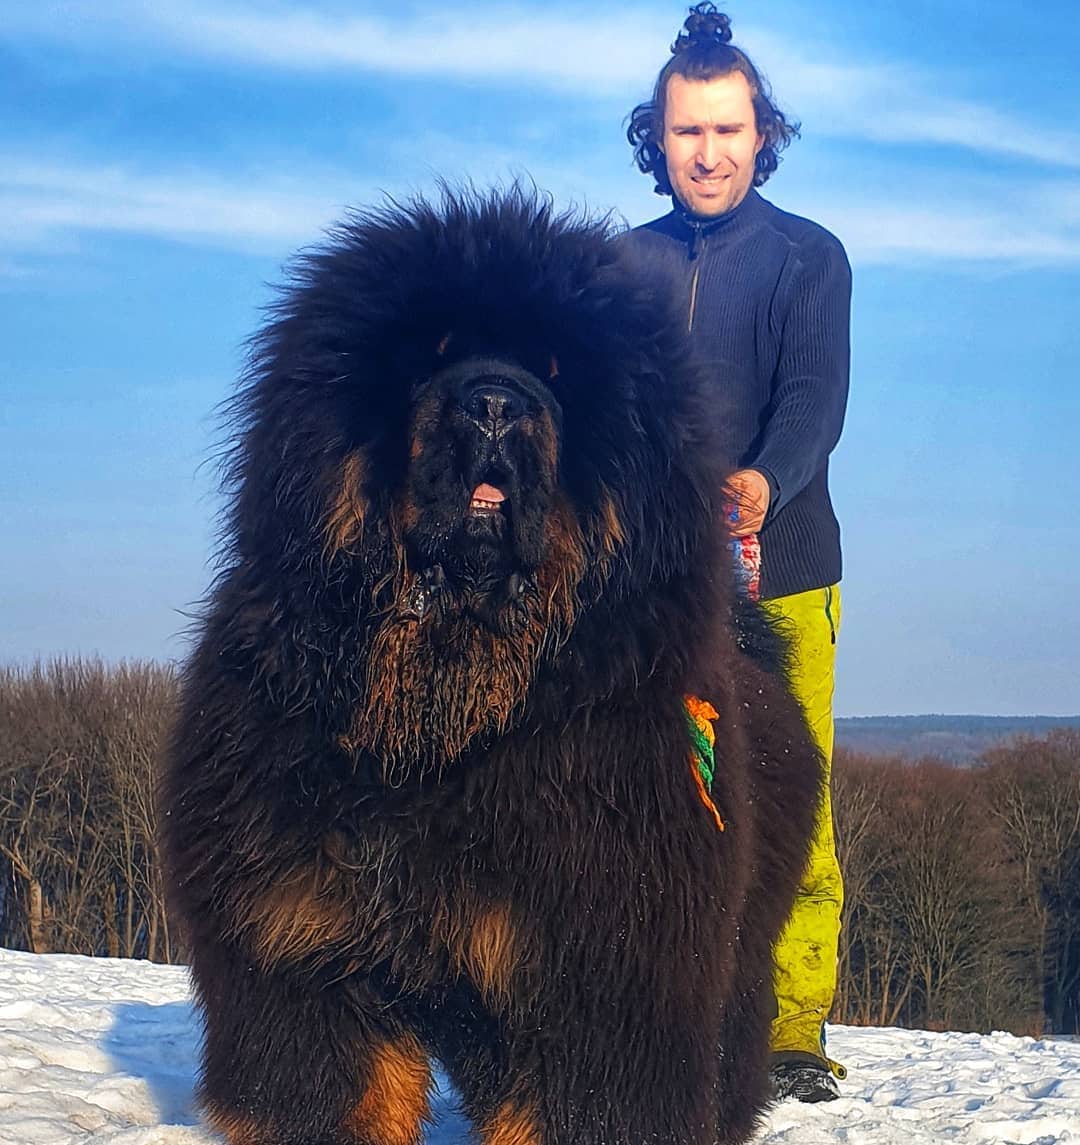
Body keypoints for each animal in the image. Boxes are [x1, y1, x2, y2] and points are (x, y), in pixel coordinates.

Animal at [158, 192, 820, 1140]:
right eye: (434, 357)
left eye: (552, 369)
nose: (495, 402)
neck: (446, 719)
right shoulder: (307, 961)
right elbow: (344, 1097)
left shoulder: (597, 984)